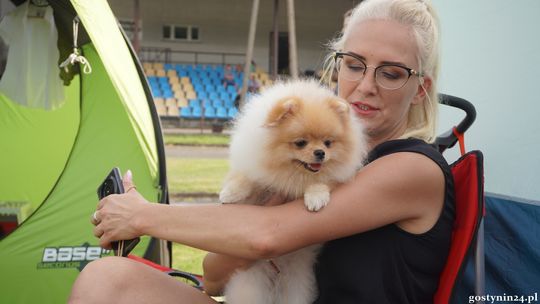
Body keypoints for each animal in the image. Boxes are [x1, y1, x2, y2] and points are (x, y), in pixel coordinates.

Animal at [219, 79, 368, 304]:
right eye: (300, 143)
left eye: (328, 143)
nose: (320, 153)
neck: (291, 175)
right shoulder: (256, 170)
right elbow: (245, 178)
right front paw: (230, 193)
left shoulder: (332, 177)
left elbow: (322, 182)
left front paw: (316, 198)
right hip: (251, 284)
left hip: (296, 283)